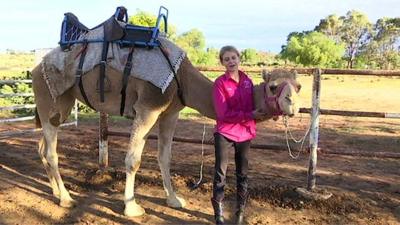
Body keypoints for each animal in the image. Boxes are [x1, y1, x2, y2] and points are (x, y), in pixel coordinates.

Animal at [32, 47, 300, 216]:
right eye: (273, 86)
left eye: (297, 86)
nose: (293, 104)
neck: (182, 77)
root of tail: (35, 69)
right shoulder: (147, 107)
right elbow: (133, 160)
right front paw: (132, 208)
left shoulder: (170, 113)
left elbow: (165, 157)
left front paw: (174, 200)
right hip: (50, 98)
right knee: (52, 151)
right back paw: (66, 199)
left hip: (60, 106)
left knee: (43, 147)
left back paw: (55, 191)